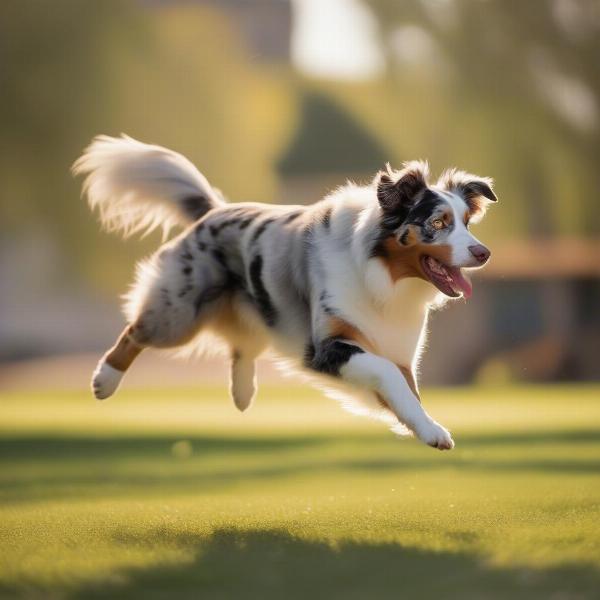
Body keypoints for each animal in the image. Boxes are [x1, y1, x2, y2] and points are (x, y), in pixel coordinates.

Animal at [74, 136, 496, 452]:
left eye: (467, 222)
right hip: (179, 314)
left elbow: (407, 392)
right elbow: (387, 375)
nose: (484, 253)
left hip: (260, 311)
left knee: (242, 345)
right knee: (136, 332)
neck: (382, 274)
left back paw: (243, 392)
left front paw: (424, 427)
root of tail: (213, 211)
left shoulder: (397, 349)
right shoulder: (327, 347)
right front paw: (432, 432)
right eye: (438, 223)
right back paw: (104, 381)